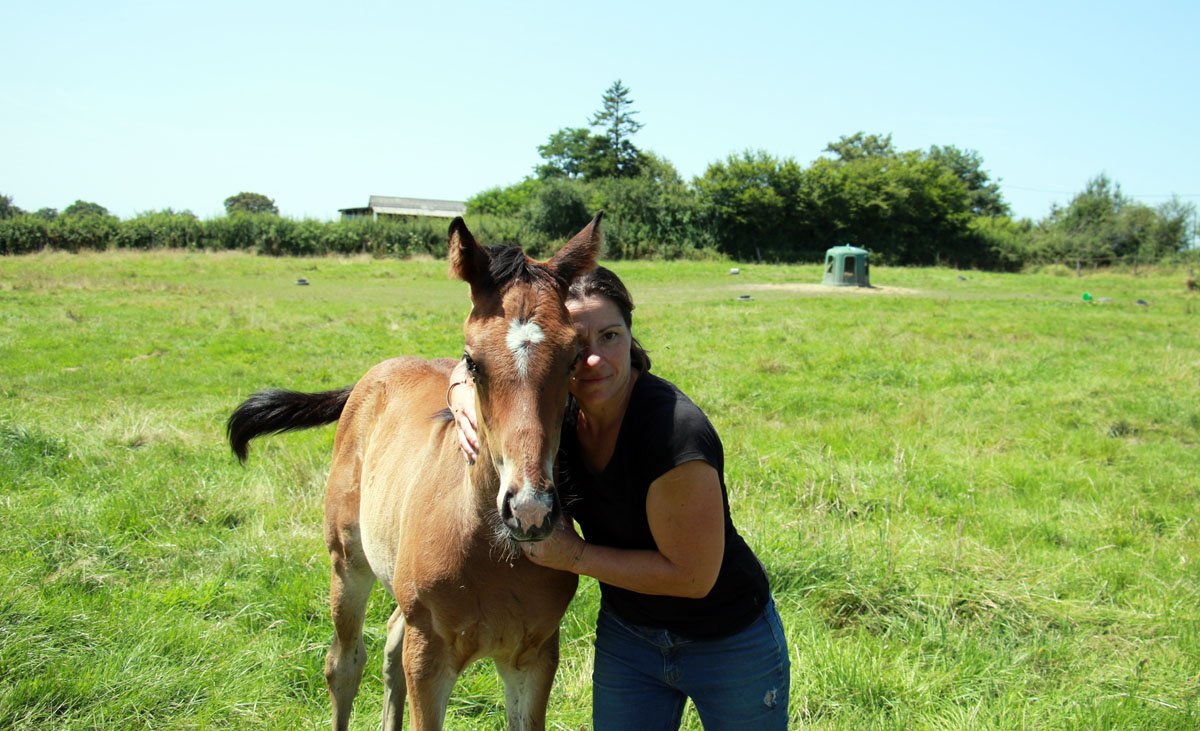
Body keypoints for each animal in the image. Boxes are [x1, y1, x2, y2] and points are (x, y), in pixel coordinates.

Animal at [226, 214, 602, 730]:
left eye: (573, 359)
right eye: (472, 362)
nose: (529, 510)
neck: (490, 551)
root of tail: (374, 374)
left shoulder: (536, 656)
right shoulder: (430, 658)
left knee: (389, 643)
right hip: (347, 562)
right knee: (345, 664)